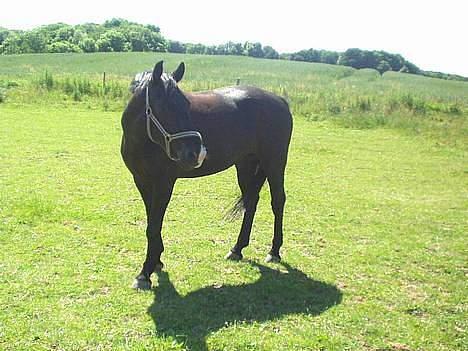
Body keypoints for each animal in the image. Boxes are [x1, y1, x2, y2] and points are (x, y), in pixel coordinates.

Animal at [122, 62, 292, 290]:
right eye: (165, 108)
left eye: (186, 104)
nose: (195, 153)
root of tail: (280, 101)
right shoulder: (142, 181)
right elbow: (152, 223)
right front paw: (156, 261)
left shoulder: (164, 184)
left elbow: (154, 226)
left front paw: (144, 274)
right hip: (246, 165)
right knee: (251, 202)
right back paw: (237, 249)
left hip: (274, 163)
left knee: (278, 201)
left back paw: (274, 251)